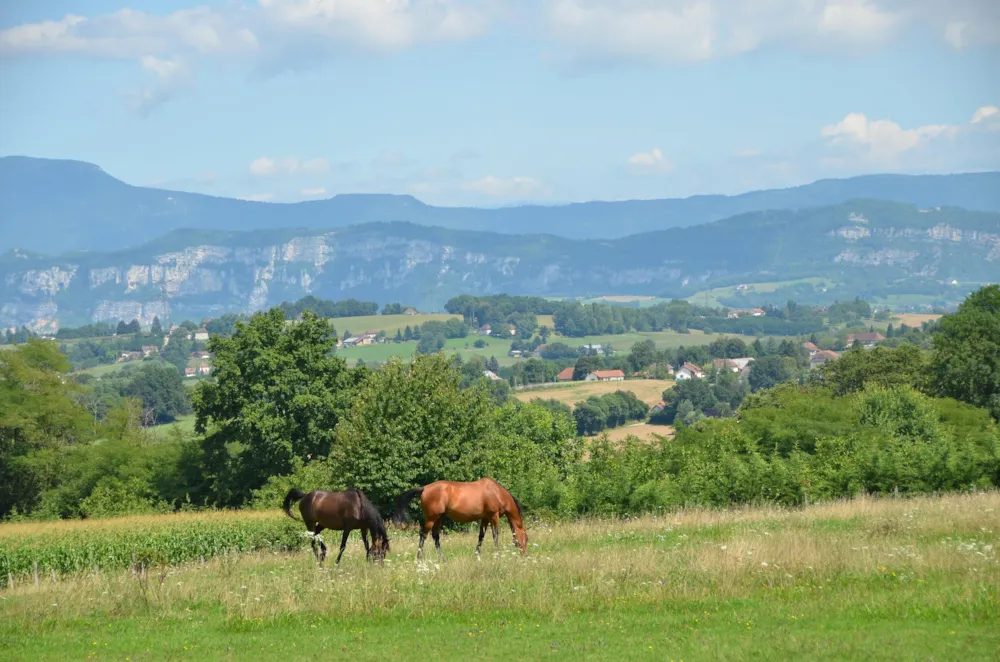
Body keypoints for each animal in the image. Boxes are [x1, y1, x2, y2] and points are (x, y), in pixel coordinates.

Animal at [392, 480, 532, 564]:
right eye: (526, 538)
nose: (526, 554)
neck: (496, 492)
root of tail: (424, 488)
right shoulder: (494, 516)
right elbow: (495, 536)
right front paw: (497, 556)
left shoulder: (485, 518)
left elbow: (481, 536)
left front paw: (477, 555)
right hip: (431, 518)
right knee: (423, 535)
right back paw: (419, 559)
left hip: (439, 518)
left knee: (435, 536)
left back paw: (443, 559)